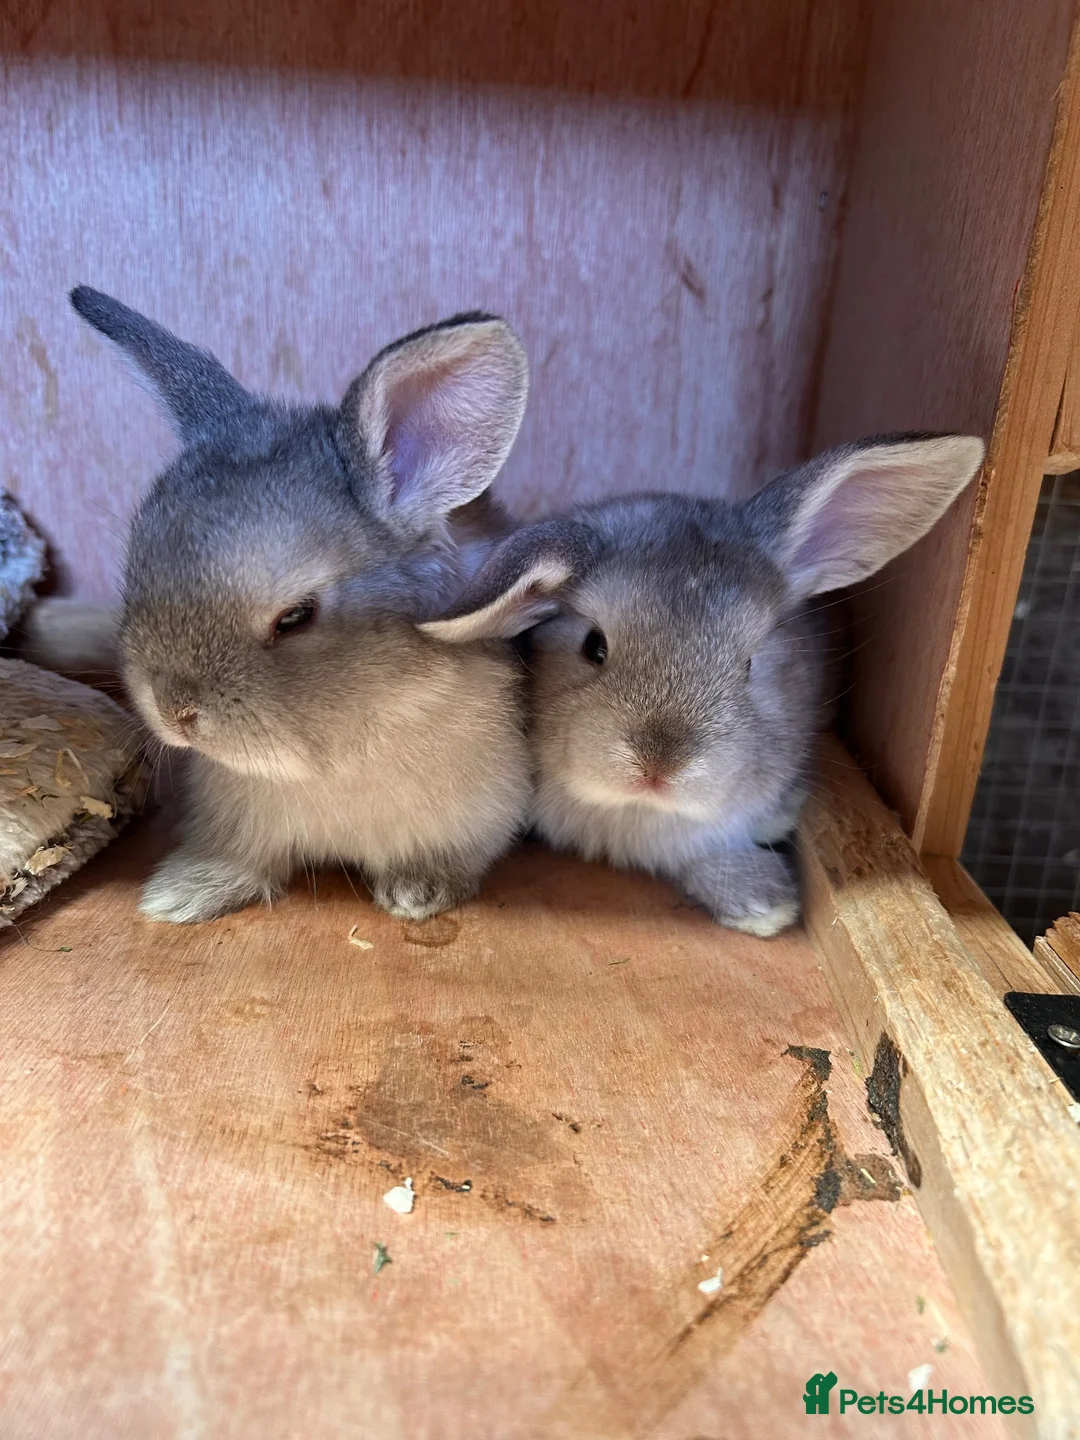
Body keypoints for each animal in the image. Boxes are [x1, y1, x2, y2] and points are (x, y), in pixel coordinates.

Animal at [70, 286, 533, 924]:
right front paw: (180, 895)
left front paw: (417, 896)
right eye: (136, 568)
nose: (174, 711)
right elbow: (243, 859)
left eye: (295, 617)